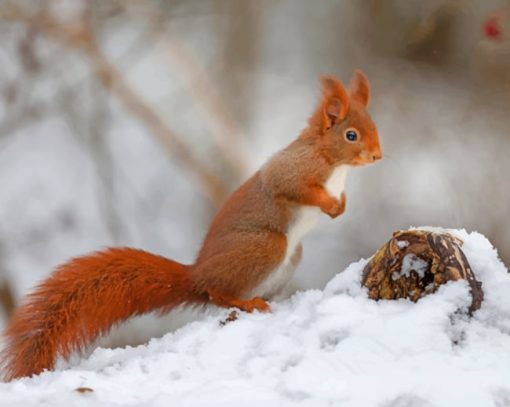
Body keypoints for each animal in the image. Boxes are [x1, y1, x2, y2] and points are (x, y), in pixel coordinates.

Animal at [0, 69, 382, 380]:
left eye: (374, 127)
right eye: (351, 135)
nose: (378, 156)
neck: (333, 163)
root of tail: (196, 275)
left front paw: (340, 208)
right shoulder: (292, 170)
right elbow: (292, 187)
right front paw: (328, 204)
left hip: (290, 256)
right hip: (267, 246)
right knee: (217, 293)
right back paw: (245, 302)